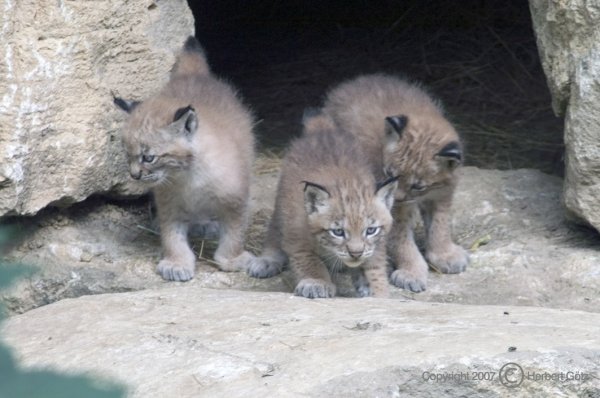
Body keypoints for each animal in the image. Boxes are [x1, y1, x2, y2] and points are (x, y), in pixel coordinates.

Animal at [114, 36, 255, 280]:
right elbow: (172, 236)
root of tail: (194, 75)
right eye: (127, 154)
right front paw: (177, 263)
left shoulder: (236, 197)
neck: (187, 175)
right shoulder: (168, 203)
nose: (134, 175)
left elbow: (234, 232)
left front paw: (232, 258)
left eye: (148, 158)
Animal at [246, 110, 396, 296]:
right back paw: (267, 260)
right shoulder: (298, 240)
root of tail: (322, 130)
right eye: (338, 232)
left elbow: (374, 266)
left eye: (370, 230)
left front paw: (377, 290)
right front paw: (317, 282)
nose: (356, 254)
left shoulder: (377, 244)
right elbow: (311, 263)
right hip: (282, 199)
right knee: (274, 228)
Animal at [324, 74, 468, 292]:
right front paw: (412, 272)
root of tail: (352, 82)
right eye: (389, 174)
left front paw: (444, 254)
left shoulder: (442, 194)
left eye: (418, 186)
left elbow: (440, 225)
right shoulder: (389, 209)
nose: (397, 199)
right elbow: (401, 240)